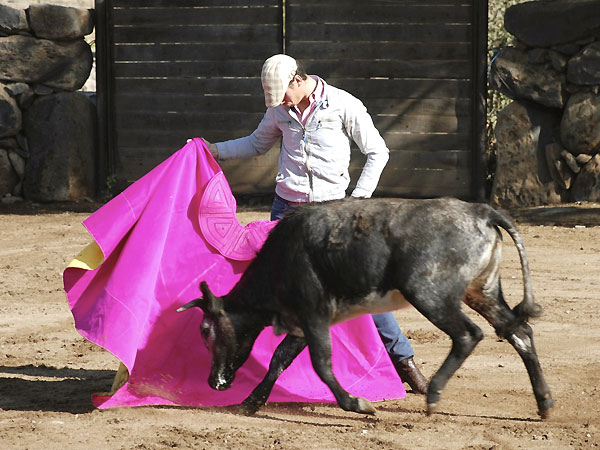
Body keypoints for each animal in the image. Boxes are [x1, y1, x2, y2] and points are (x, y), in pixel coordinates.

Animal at [178, 197, 552, 418]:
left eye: (206, 330)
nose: (214, 382)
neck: (282, 258)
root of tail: (482, 211)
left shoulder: (314, 315)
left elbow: (322, 364)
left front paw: (357, 404)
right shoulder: (303, 323)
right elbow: (279, 360)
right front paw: (252, 402)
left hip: (429, 294)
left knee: (468, 334)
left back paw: (433, 394)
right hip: (482, 291)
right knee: (518, 331)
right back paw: (545, 402)